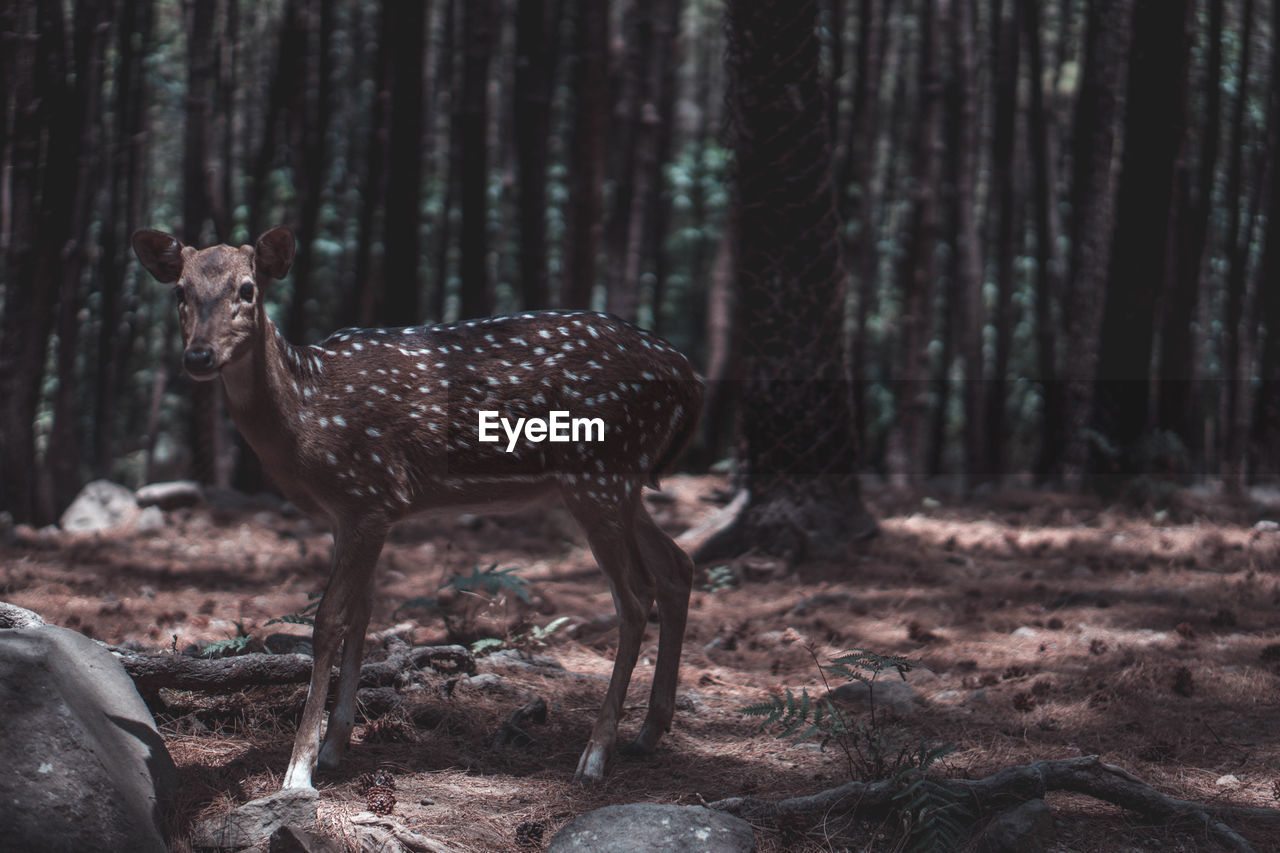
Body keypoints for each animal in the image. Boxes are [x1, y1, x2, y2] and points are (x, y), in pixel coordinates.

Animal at [135, 224, 706, 783]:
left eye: (248, 289)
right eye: (180, 291)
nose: (198, 356)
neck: (306, 414)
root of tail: (689, 374)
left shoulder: (369, 496)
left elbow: (328, 622)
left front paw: (299, 770)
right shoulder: (356, 513)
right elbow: (364, 615)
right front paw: (334, 749)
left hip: (598, 473)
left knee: (634, 597)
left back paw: (594, 757)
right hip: (620, 484)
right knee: (677, 565)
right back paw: (647, 734)